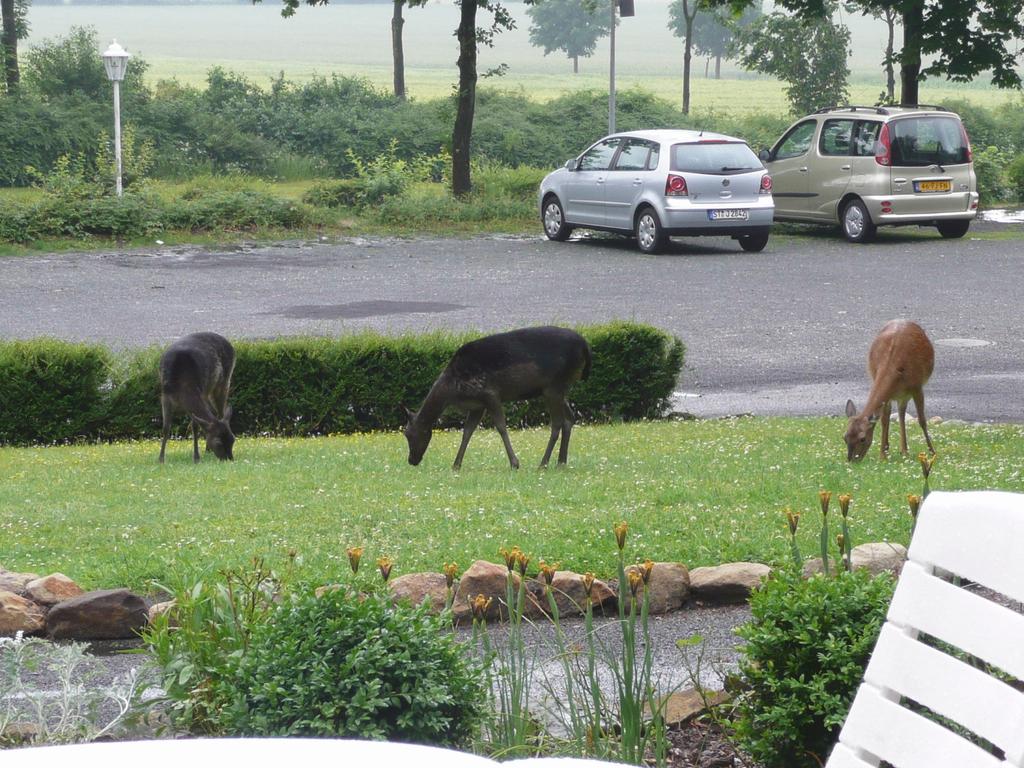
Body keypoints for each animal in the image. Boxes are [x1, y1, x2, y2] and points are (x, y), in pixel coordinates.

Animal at [158, 331, 236, 462]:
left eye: (233, 439)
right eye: (218, 443)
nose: (229, 459)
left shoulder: (200, 392)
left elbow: (195, 427)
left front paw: (196, 458)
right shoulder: (165, 396)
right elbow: (166, 427)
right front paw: (161, 459)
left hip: (224, 382)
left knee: (220, 412)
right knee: (215, 413)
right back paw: (207, 450)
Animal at [401, 325, 593, 468]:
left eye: (408, 434)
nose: (411, 460)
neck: (453, 389)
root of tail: (585, 346)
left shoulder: (490, 393)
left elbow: (501, 427)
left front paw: (515, 463)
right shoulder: (477, 404)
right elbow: (467, 431)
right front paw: (456, 465)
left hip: (554, 386)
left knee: (557, 423)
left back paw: (543, 463)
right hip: (558, 389)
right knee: (570, 418)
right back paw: (561, 462)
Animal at [847, 319, 937, 462]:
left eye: (862, 438)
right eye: (845, 437)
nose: (852, 460)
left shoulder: (917, 387)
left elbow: (922, 420)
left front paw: (932, 451)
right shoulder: (887, 395)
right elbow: (884, 420)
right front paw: (882, 455)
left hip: (906, 394)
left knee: (901, 413)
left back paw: (904, 450)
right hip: (898, 395)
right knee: (896, 413)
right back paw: (896, 449)